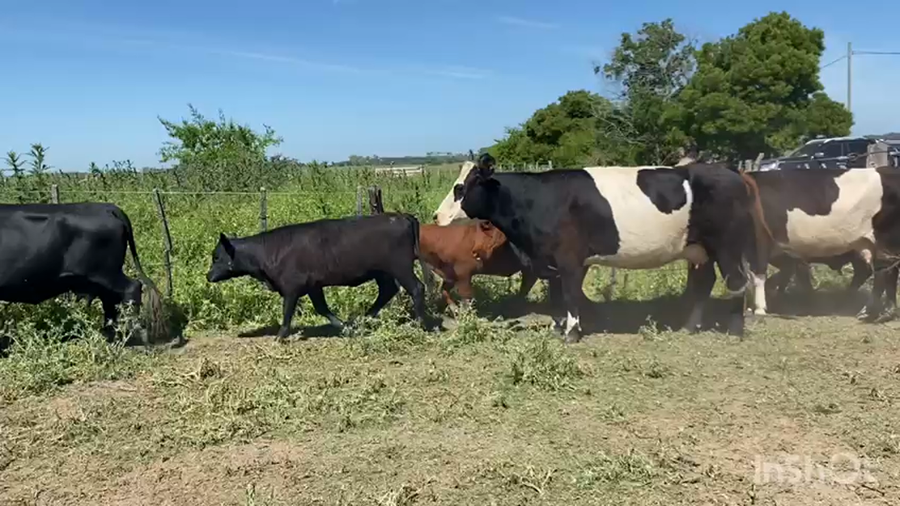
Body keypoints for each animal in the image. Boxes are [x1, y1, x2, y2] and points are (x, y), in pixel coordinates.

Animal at [0, 202, 168, 343]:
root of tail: (108, 207)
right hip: (102, 278)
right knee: (110, 300)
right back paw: (110, 335)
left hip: (106, 273)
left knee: (132, 288)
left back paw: (134, 334)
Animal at [206, 212, 428, 340]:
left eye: (216, 257)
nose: (208, 276)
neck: (269, 252)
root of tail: (402, 216)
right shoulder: (313, 286)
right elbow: (322, 308)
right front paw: (344, 327)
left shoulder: (292, 287)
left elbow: (287, 312)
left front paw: (280, 337)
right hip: (382, 272)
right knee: (387, 291)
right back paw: (361, 321)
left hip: (400, 267)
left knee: (417, 288)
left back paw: (421, 324)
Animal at [451, 154, 757, 343]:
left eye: (459, 188)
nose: (440, 216)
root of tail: (730, 170)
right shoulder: (558, 262)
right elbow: (560, 295)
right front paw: (562, 326)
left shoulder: (569, 258)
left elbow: (570, 294)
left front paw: (572, 332)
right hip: (700, 250)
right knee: (706, 281)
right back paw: (689, 327)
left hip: (728, 246)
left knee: (737, 281)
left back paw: (735, 330)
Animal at [742, 167, 900, 321]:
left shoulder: (760, 240)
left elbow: (759, 275)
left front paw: (760, 309)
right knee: (881, 273)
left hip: (884, 242)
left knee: (886, 273)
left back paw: (874, 312)